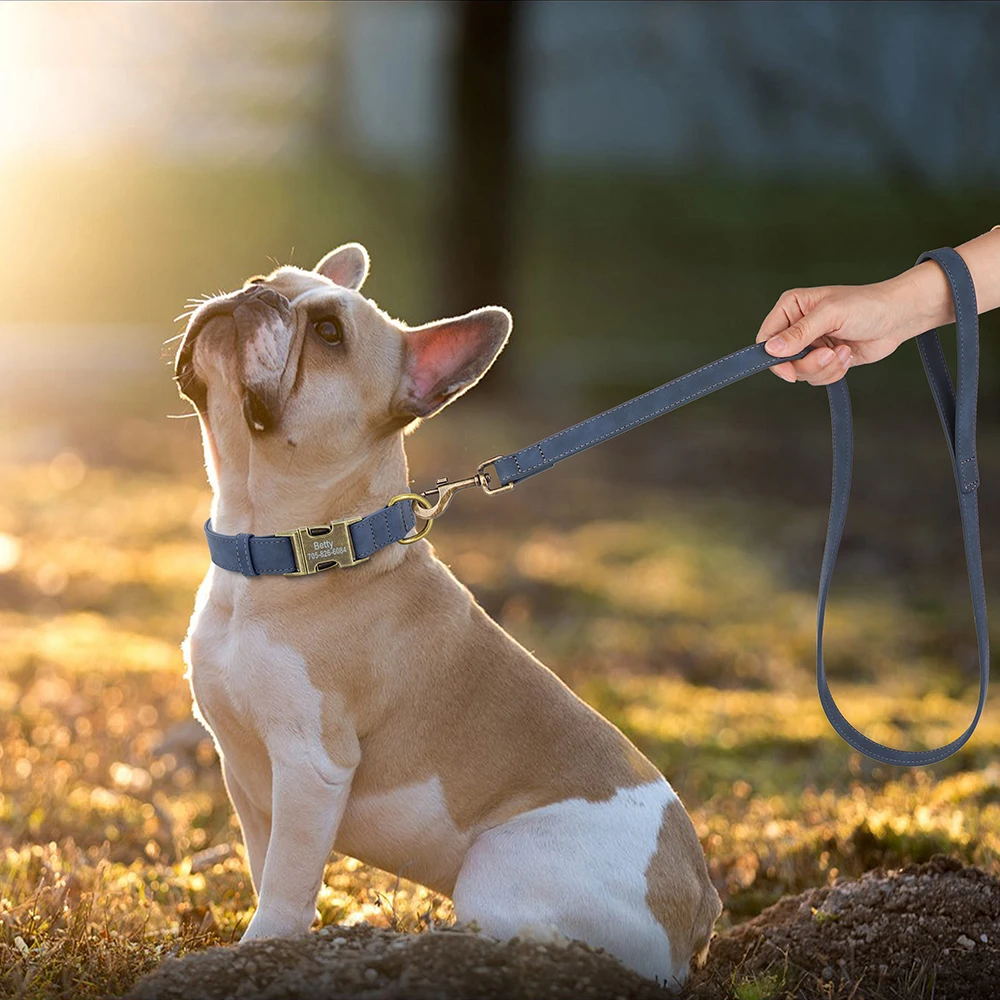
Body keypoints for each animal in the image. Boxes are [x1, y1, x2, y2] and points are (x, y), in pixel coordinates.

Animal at [172, 244, 720, 992]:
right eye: (263, 281)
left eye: (330, 335)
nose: (255, 297)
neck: (288, 553)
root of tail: (701, 902)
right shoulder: (245, 770)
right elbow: (266, 866)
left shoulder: (312, 767)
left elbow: (285, 886)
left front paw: (260, 953)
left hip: (501, 871)